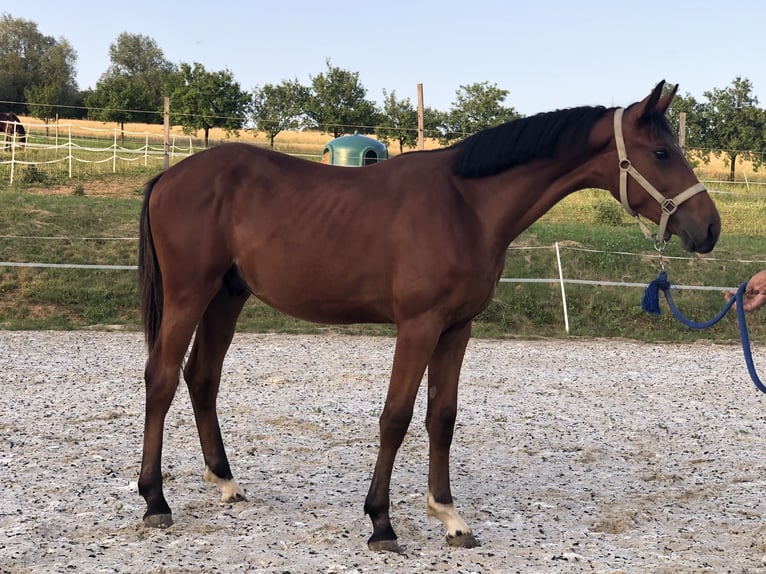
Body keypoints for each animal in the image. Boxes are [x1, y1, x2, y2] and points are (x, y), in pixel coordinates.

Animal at [136, 82, 720, 552]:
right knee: (162, 379)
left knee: (202, 378)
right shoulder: (417, 326)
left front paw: (449, 516)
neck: (466, 204)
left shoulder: (456, 329)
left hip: (226, 298)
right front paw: (381, 523)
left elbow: (442, 416)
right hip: (190, 296)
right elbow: (395, 417)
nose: (709, 228)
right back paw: (154, 500)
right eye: (662, 151)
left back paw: (225, 482)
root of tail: (168, 177)